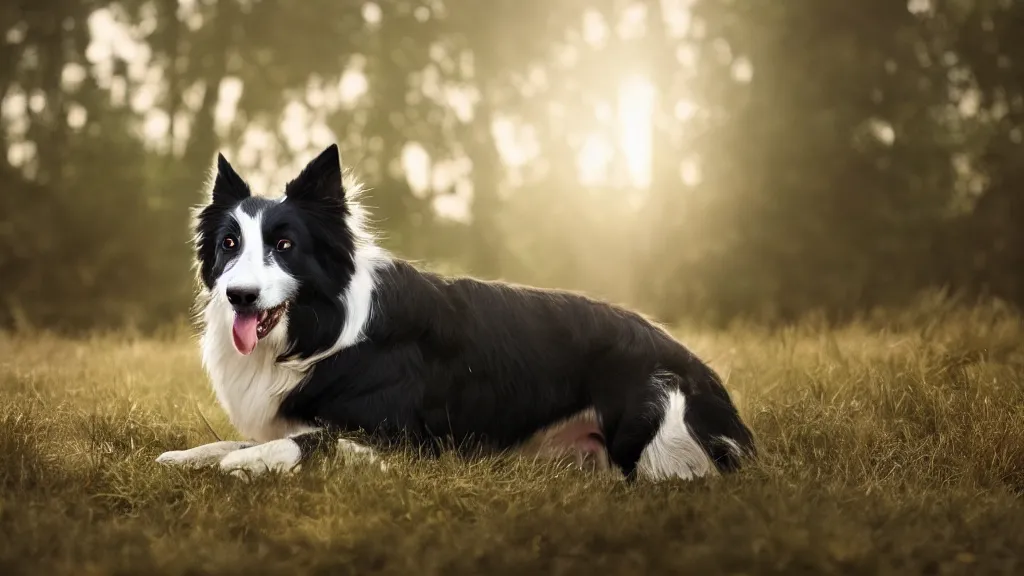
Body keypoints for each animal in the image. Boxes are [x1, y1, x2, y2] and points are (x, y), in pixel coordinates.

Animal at [157, 144, 753, 479]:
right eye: (229, 244)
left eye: (284, 246)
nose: (240, 296)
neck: (321, 328)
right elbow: (243, 437)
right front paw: (188, 456)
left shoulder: (408, 442)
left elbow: (308, 439)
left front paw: (248, 463)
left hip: (655, 424)